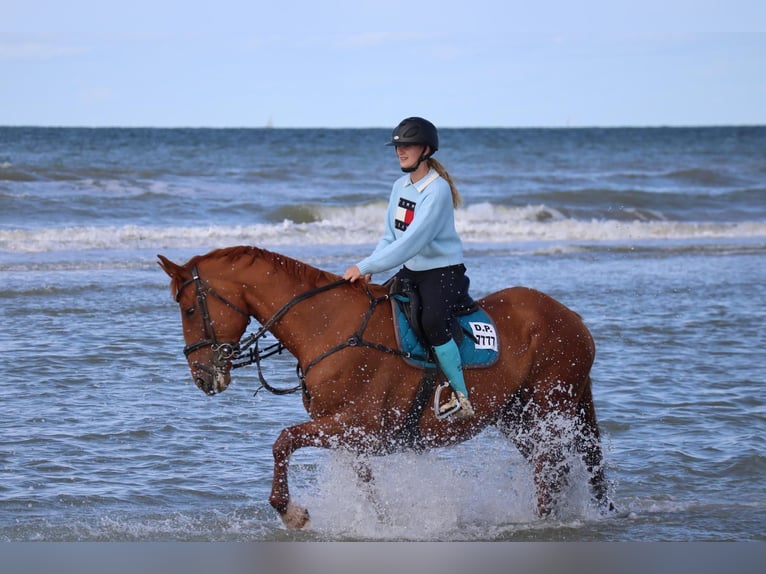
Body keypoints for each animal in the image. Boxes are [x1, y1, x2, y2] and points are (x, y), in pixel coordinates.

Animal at [158, 245, 612, 529]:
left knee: (553, 468)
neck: (328, 326)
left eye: (189, 309)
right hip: (517, 416)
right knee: (555, 467)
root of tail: (573, 319)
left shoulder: (356, 423)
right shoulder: (349, 433)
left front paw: (292, 513)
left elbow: (283, 441)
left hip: (548, 407)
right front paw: (382, 523)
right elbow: (365, 483)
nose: (202, 377)